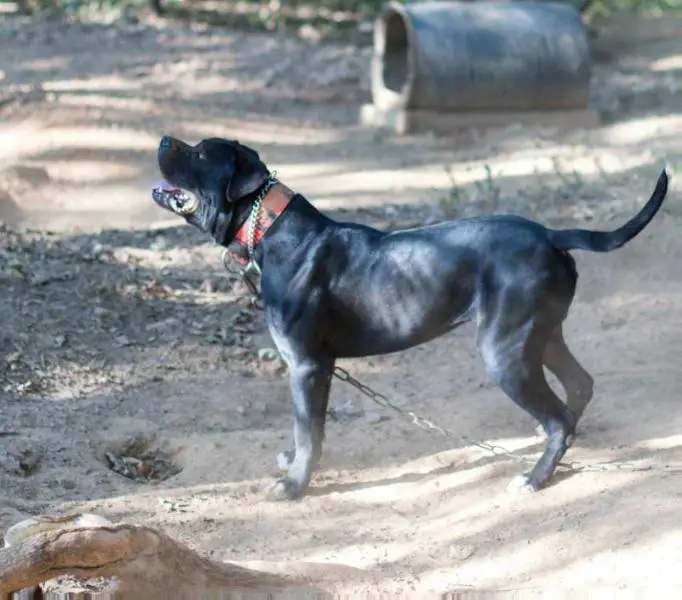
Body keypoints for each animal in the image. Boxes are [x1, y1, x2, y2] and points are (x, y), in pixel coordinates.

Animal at [151, 135, 668, 496]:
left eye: (201, 154)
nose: (163, 139)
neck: (267, 227)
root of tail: (550, 234)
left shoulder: (308, 366)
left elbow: (309, 430)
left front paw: (295, 485)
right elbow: (304, 429)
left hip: (505, 350)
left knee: (559, 414)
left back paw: (534, 477)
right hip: (542, 334)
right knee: (578, 386)